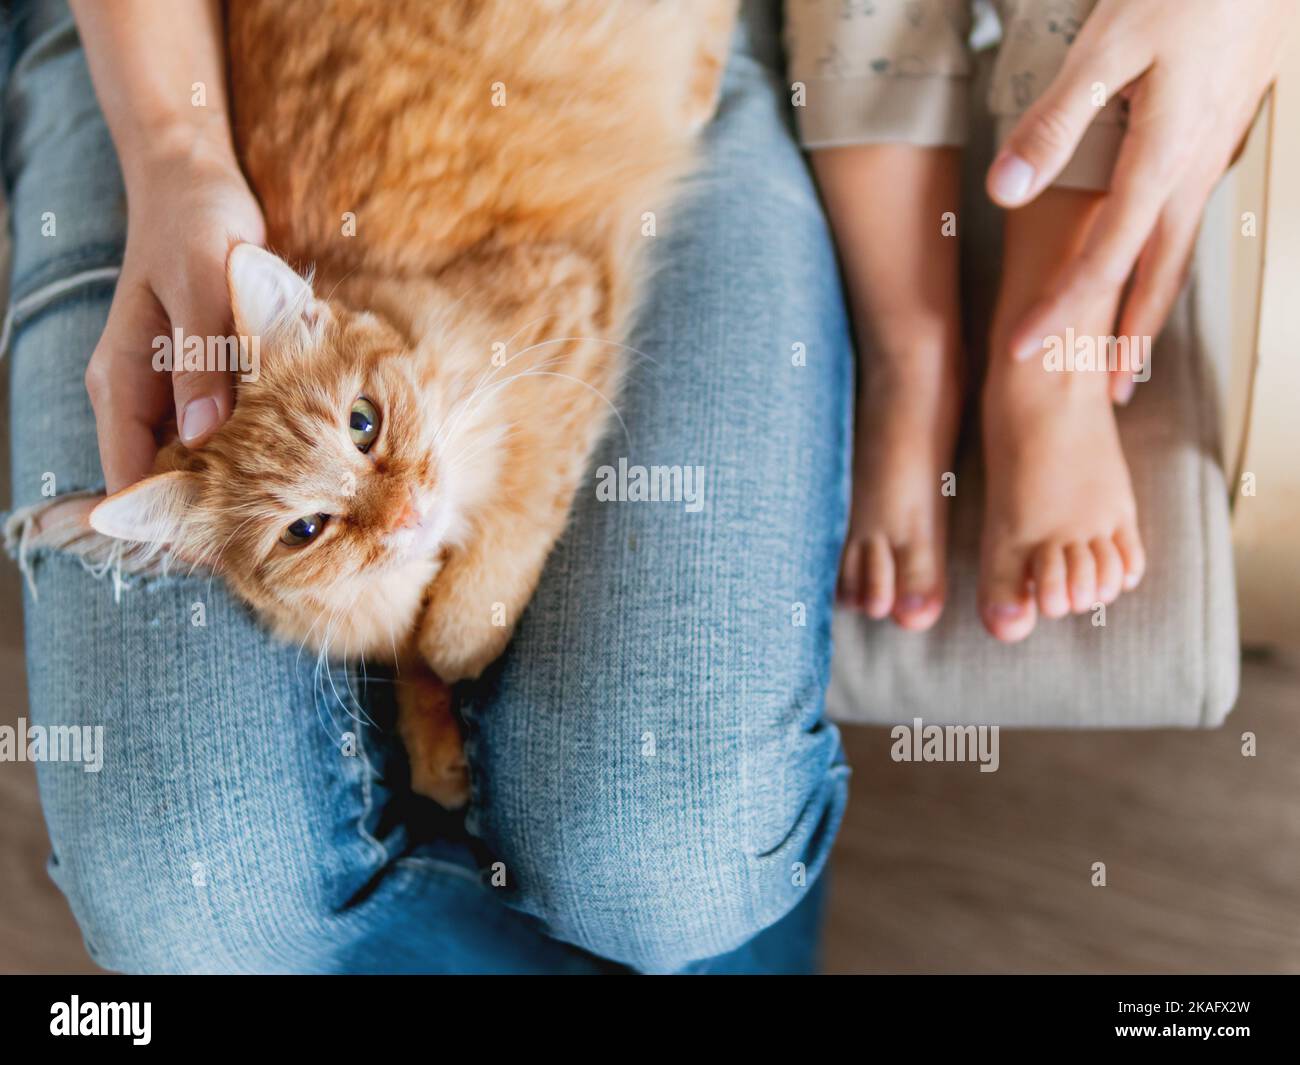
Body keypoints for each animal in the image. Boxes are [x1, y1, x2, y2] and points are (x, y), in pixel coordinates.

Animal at [89, 0, 743, 801]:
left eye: (362, 423)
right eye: (304, 530)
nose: (405, 515)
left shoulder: (564, 310)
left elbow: (500, 547)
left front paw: (459, 638)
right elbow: (411, 669)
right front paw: (437, 752)